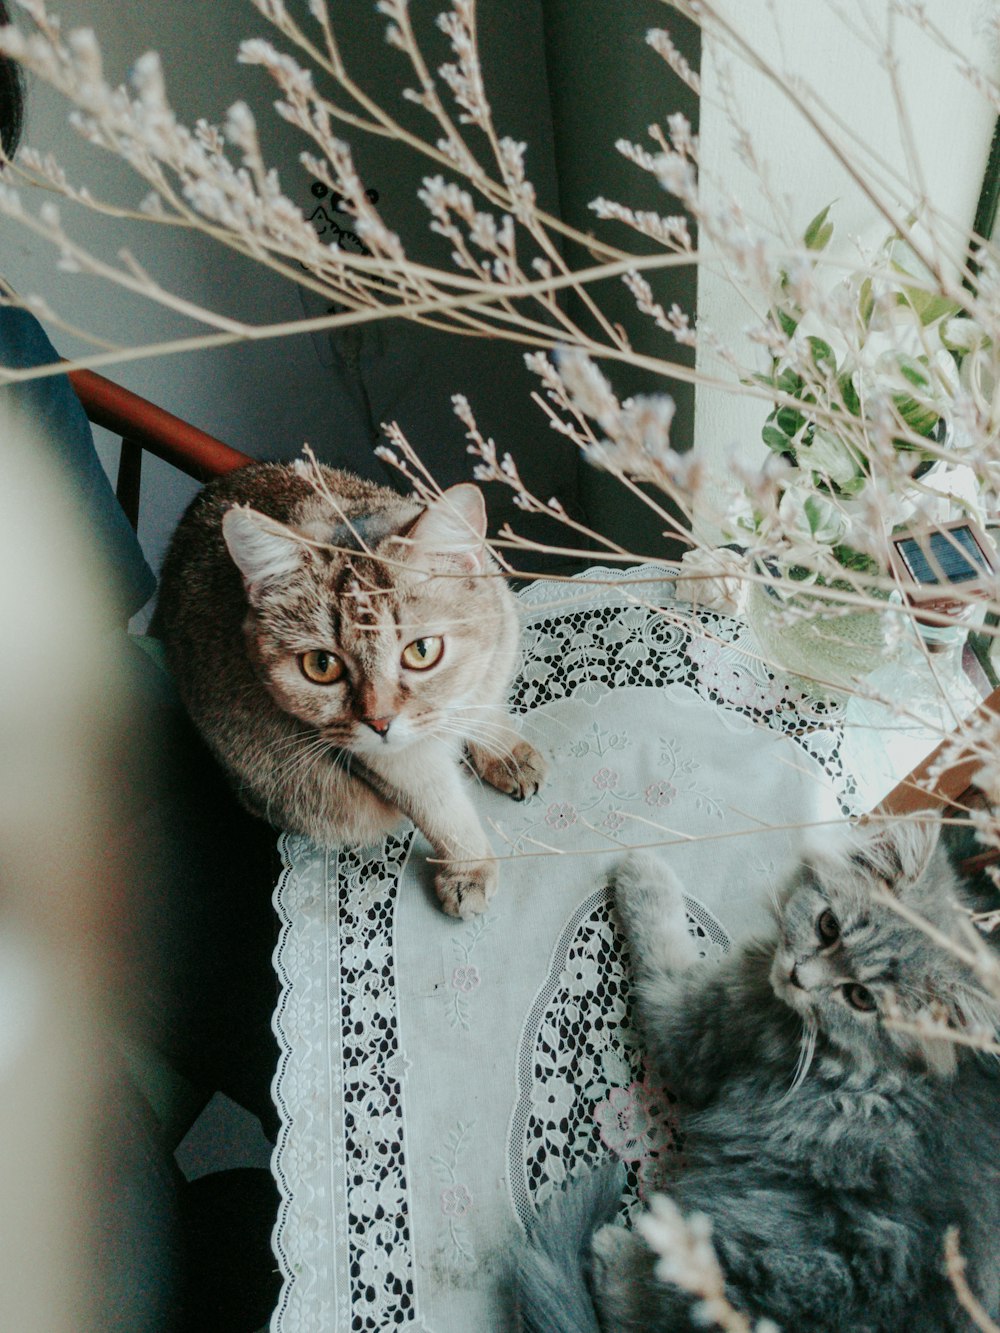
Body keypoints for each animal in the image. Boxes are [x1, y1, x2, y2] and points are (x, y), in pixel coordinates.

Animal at [156, 461, 549, 917]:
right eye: (321, 665)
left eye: (422, 651)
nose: (379, 722)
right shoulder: (395, 763)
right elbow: (443, 812)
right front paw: (467, 869)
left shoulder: (491, 664)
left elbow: (484, 715)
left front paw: (505, 754)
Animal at [517, 815, 1000, 1327]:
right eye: (828, 926)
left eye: (860, 997)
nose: (798, 977)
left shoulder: (692, 1020)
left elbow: (659, 938)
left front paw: (642, 870)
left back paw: (615, 1249)